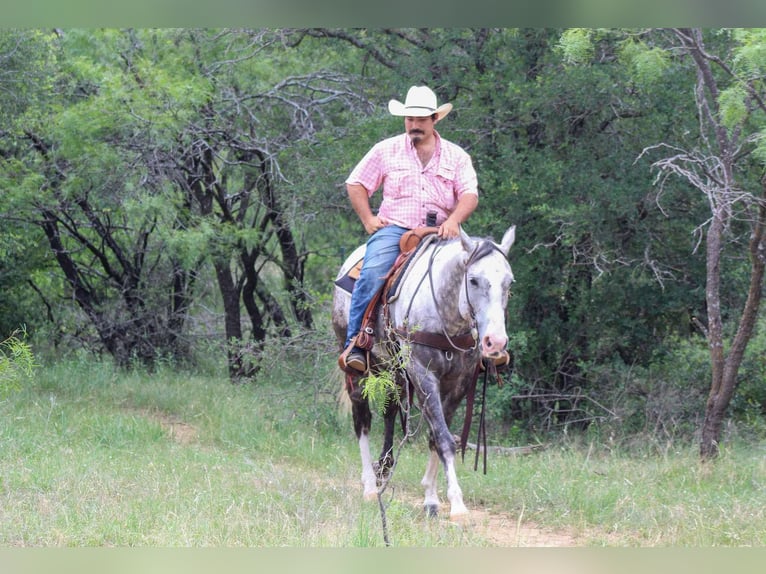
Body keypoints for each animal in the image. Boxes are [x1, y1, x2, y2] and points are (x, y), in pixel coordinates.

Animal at [332, 224, 516, 519]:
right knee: (363, 420)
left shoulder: (458, 383)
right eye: (473, 280)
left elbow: (435, 437)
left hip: (394, 371)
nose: (495, 343)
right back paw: (370, 485)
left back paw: (384, 467)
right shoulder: (423, 374)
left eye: (509, 283)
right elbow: (443, 438)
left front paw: (431, 498)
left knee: (390, 411)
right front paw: (458, 506)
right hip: (357, 369)